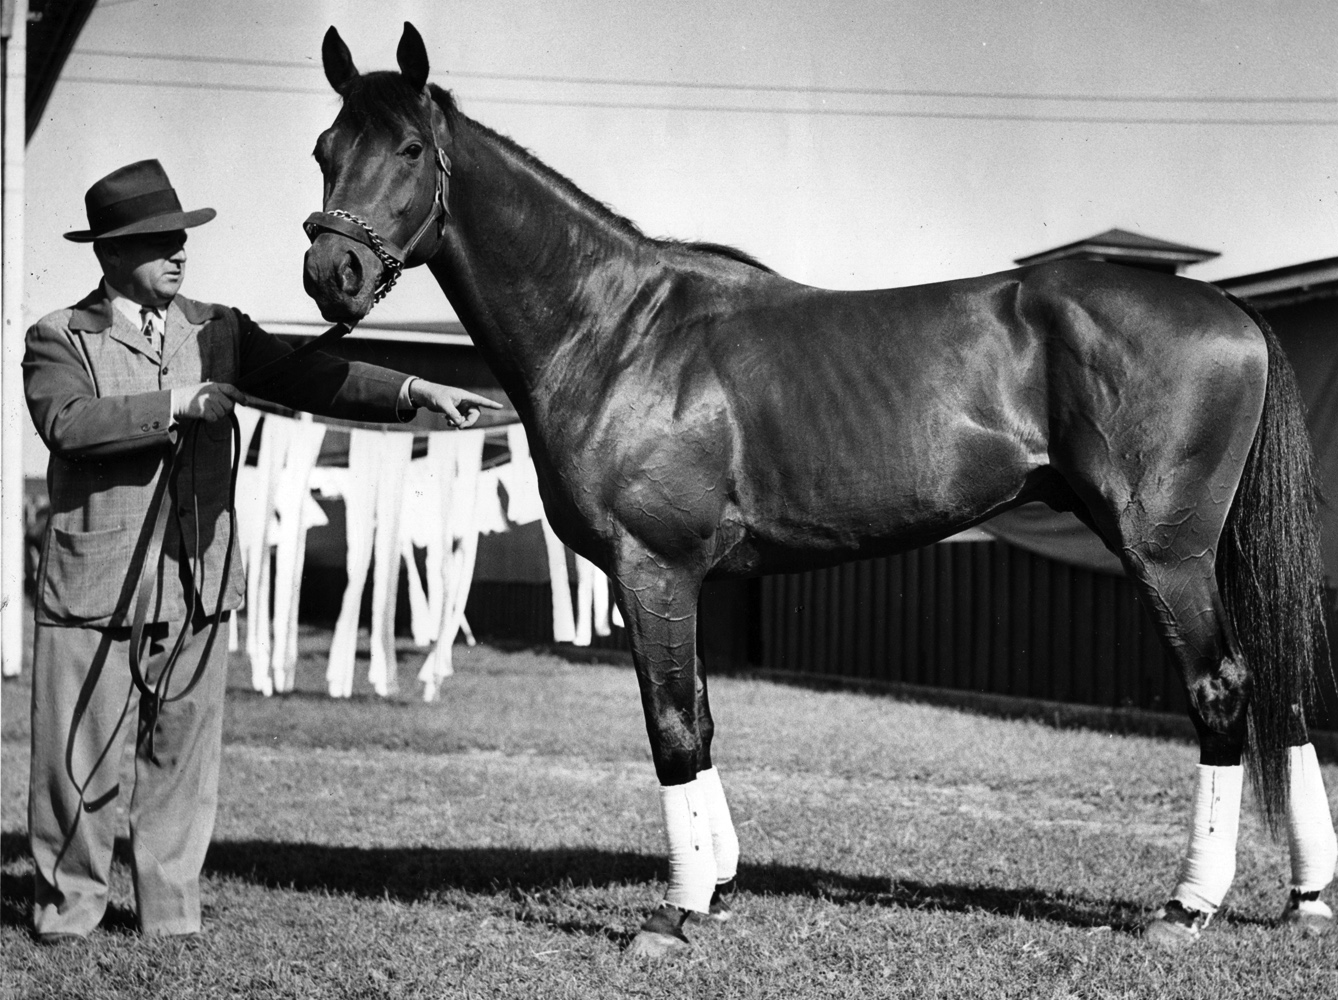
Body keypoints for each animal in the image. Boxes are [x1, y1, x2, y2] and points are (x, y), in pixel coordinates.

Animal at [298, 23, 1332, 958]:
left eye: (409, 149)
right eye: (323, 151)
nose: (329, 273)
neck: (620, 331)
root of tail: (1230, 308)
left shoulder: (653, 570)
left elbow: (673, 726)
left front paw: (674, 916)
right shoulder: (681, 582)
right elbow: (702, 716)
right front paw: (717, 889)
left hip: (1167, 553)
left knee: (1221, 689)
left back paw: (1187, 907)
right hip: (1219, 552)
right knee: (1282, 692)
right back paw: (1307, 896)